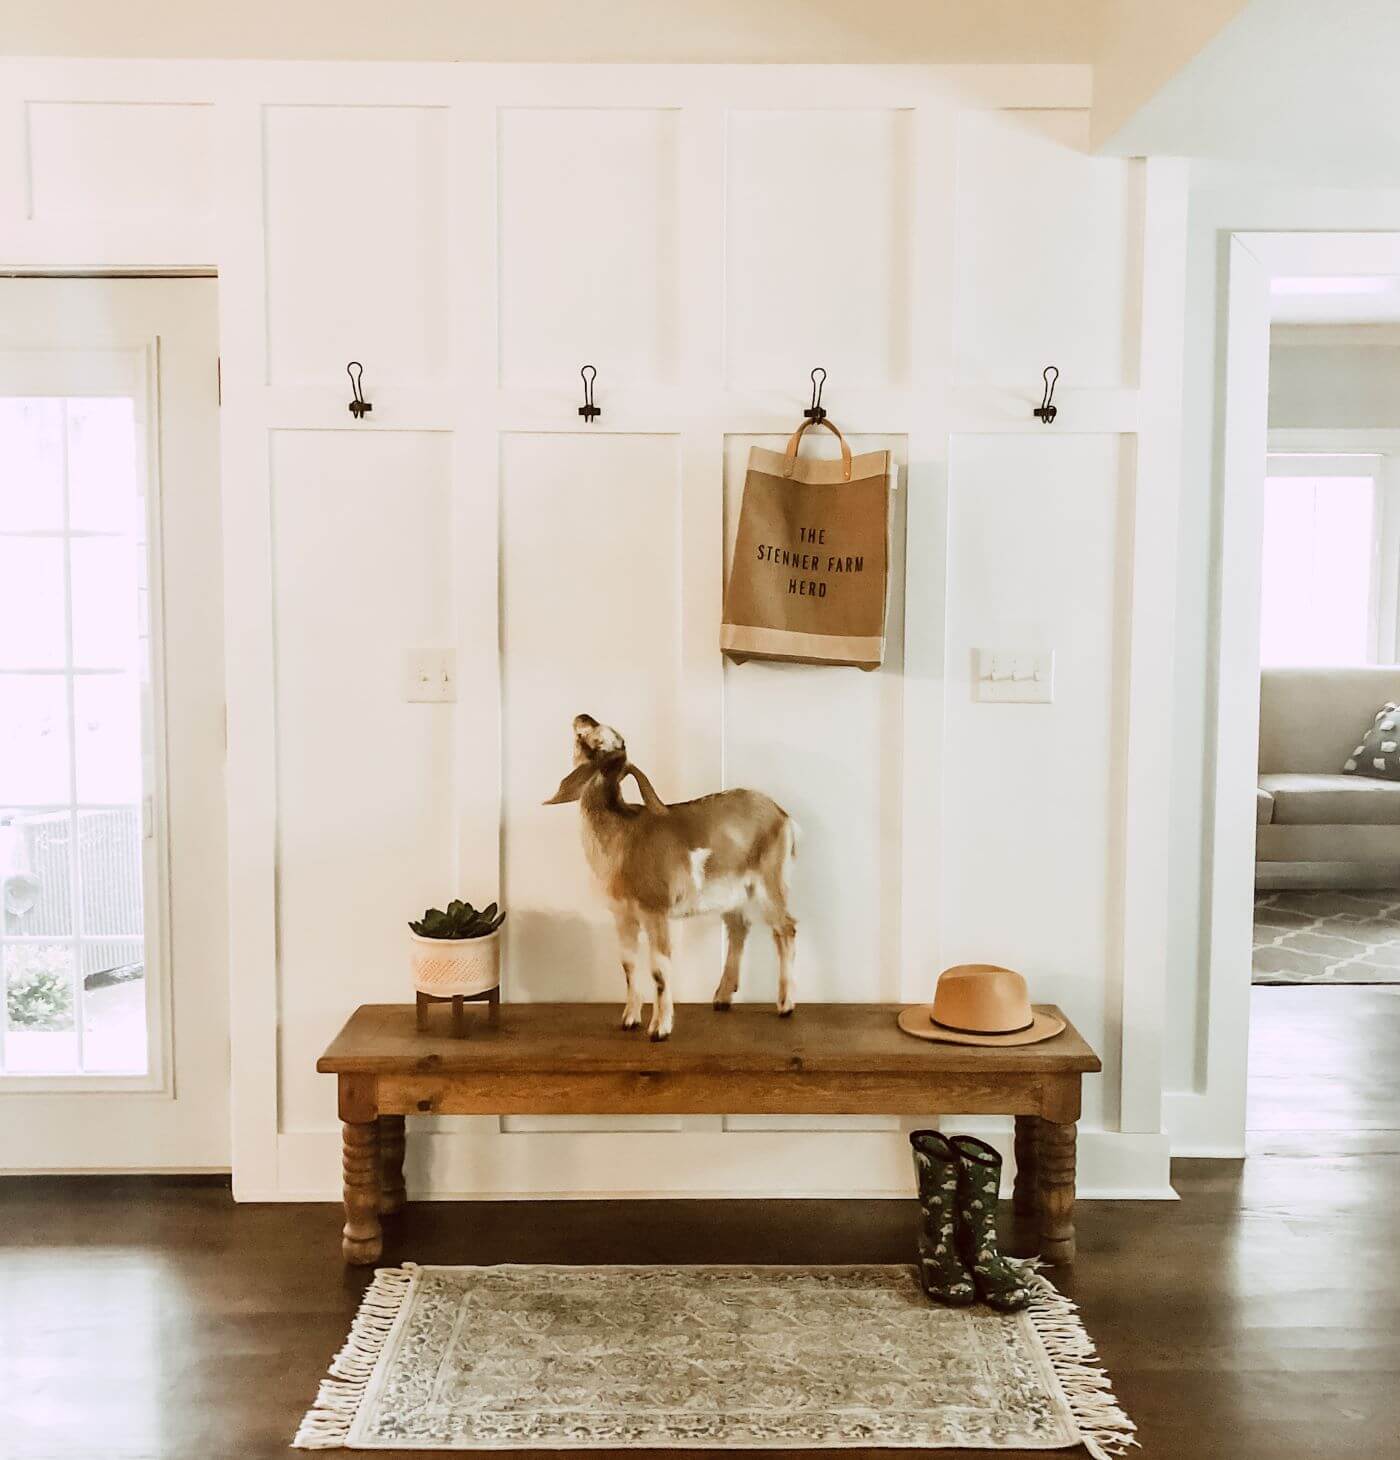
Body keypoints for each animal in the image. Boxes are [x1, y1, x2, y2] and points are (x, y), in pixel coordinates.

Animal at [548, 715, 800, 1039]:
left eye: (600, 739)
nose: (584, 716)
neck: (623, 836)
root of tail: (783, 815)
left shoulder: (655, 909)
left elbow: (659, 969)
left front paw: (660, 1029)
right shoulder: (623, 914)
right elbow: (628, 965)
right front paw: (629, 1020)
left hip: (770, 880)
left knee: (785, 928)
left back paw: (785, 1004)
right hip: (733, 893)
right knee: (739, 928)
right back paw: (722, 998)